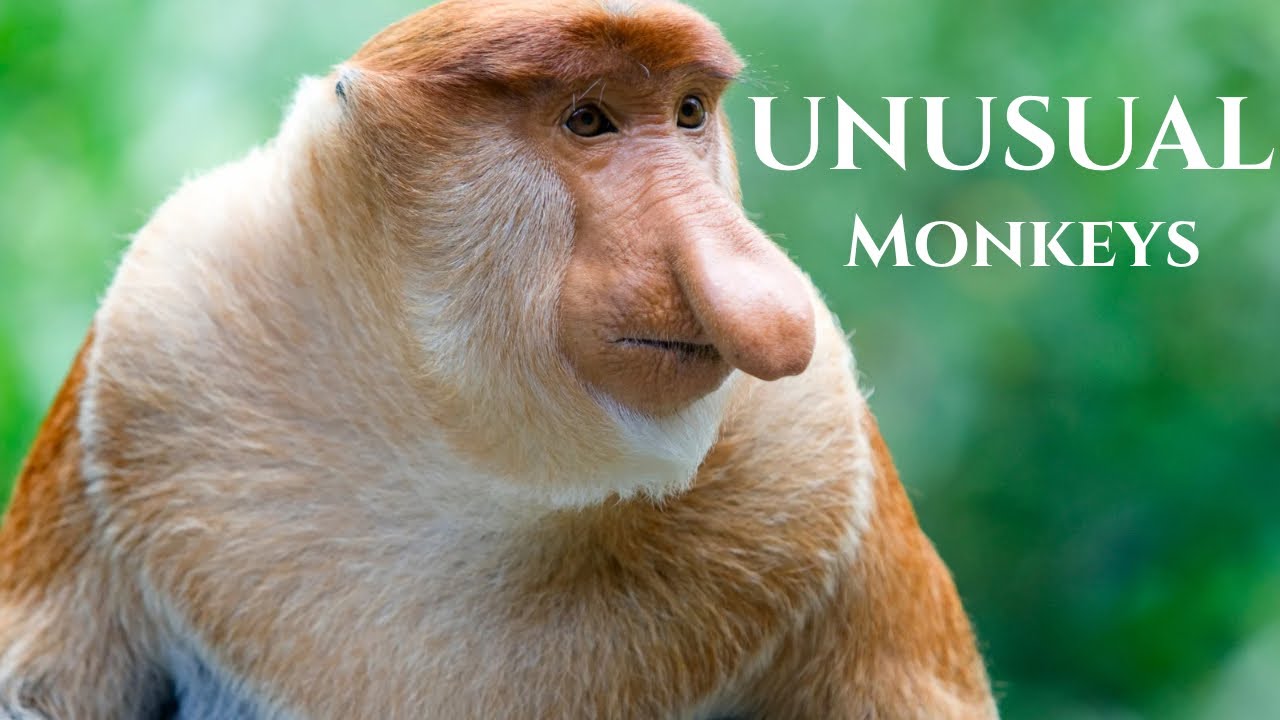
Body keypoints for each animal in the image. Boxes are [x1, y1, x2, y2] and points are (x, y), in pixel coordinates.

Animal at [0, 0, 998, 718]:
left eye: (688, 113)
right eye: (587, 120)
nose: (769, 302)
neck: (468, 459)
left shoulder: (816, 445)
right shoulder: (161, 333)